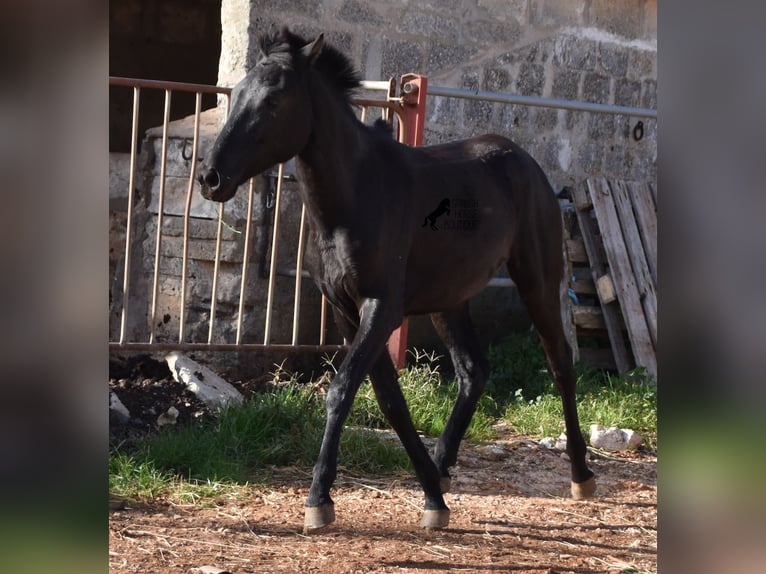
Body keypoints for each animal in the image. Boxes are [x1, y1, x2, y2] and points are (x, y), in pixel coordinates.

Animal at [201, 25, 596, 532]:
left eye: (274, 99)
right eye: (238, 93)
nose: (212, 177)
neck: (355, 197)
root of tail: (525, 162)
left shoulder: (382, 308)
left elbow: (342, 390)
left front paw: (318, 500)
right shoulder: (347, 313)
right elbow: (389, 400)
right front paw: (431, 498)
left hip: (538, 279)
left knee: (560, 362)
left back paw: (581, 475)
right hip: (450, 299)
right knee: (473, 371)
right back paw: (442, 469)